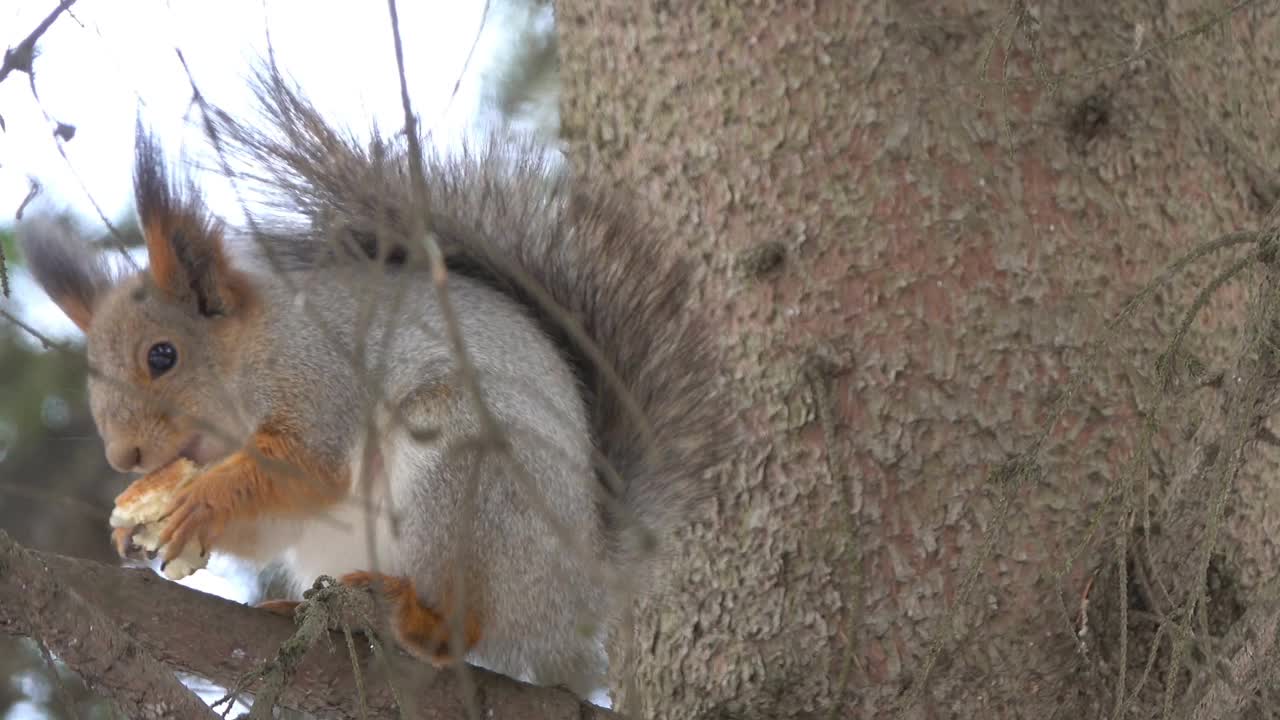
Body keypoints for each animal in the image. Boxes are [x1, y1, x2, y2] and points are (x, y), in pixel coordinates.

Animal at [17, 67, 732, 696]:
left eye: (162, 356)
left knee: (461, 628)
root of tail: (587, 575)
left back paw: (410, 613)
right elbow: (270, 523)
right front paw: (133, 526)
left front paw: (200, 498)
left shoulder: (318, 375)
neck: (246, 361)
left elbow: (310, 466)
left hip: (466, 474)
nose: (124, 456)